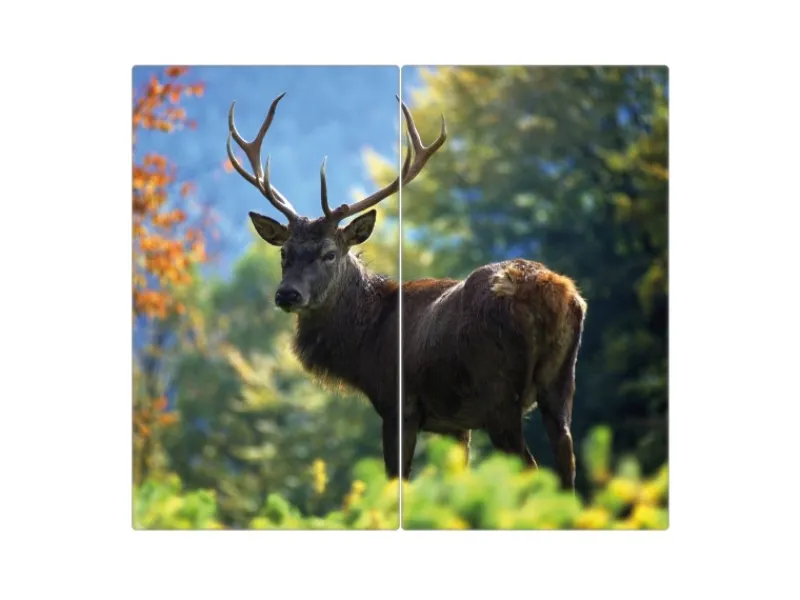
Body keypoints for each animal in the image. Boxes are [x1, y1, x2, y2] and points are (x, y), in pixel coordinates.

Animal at [225, 92, 587, 491]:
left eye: (329, 253)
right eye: (284, 253)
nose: (287, 295)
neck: (365, 343)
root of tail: (555, 294)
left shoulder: (399, 405)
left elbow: (396, 481)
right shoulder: (458, 424)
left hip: (500, 394)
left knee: (533, 470)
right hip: (561, 384)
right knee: (567, 467)